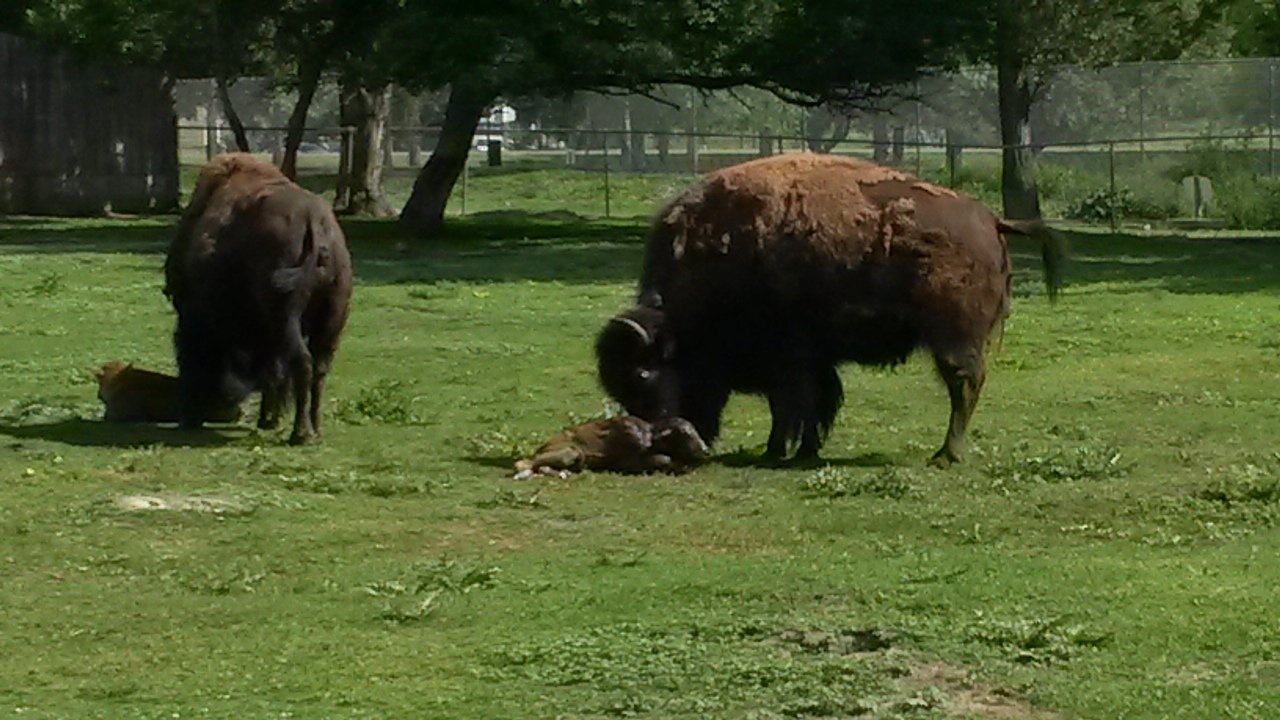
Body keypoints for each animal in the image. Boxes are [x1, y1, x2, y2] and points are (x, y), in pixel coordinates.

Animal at [164, 153, 353, 445]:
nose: (217, 406)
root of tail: (314, 221)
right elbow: (274, 371)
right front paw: (269, 419)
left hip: (287, 317)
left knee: (302, 362)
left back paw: (300, 434)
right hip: (332, 318)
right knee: (319, 369)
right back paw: (316, 430)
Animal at [596, 154, 1065, 466]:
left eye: (643, 374)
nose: (655, 441)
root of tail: (990, 219)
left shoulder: (788, 358)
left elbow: (791, 405)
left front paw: (775, 452)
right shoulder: (812, 359)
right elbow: (816, 403)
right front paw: (803, 451)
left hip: (953, 339)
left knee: (963, 387)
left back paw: (945, 456)